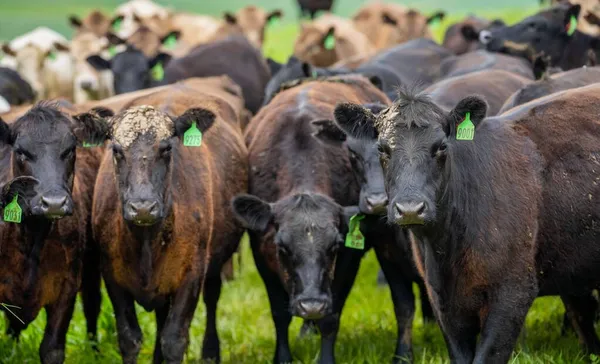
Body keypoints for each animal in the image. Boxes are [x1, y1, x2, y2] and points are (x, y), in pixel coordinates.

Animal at [88, 86, 247, 362]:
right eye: (116, 150)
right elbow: (129, 338)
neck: (147, 242)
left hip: (214, 263)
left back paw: (210, 352)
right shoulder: (112, 275)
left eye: (166, 149)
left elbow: (173, 340)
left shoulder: (192, 274)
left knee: (212, 298)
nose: (142, 207)